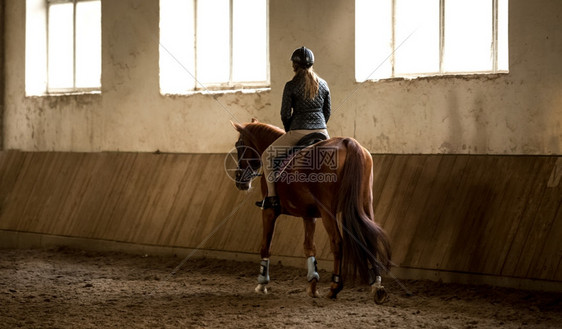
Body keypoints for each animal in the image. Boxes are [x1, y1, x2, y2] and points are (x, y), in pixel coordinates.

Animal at [230, 118, 392, 302]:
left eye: (239, 145)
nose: (239, 180)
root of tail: (348, 143)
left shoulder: (269, 212)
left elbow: (266, 246)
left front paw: (262, 284)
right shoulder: (309, 215)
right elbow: (309, 247)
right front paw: (313, 285)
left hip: (328, 212)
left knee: (337, 242)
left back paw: (335, 286)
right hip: (365, 205)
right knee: (370, 238)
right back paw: (377, 286)